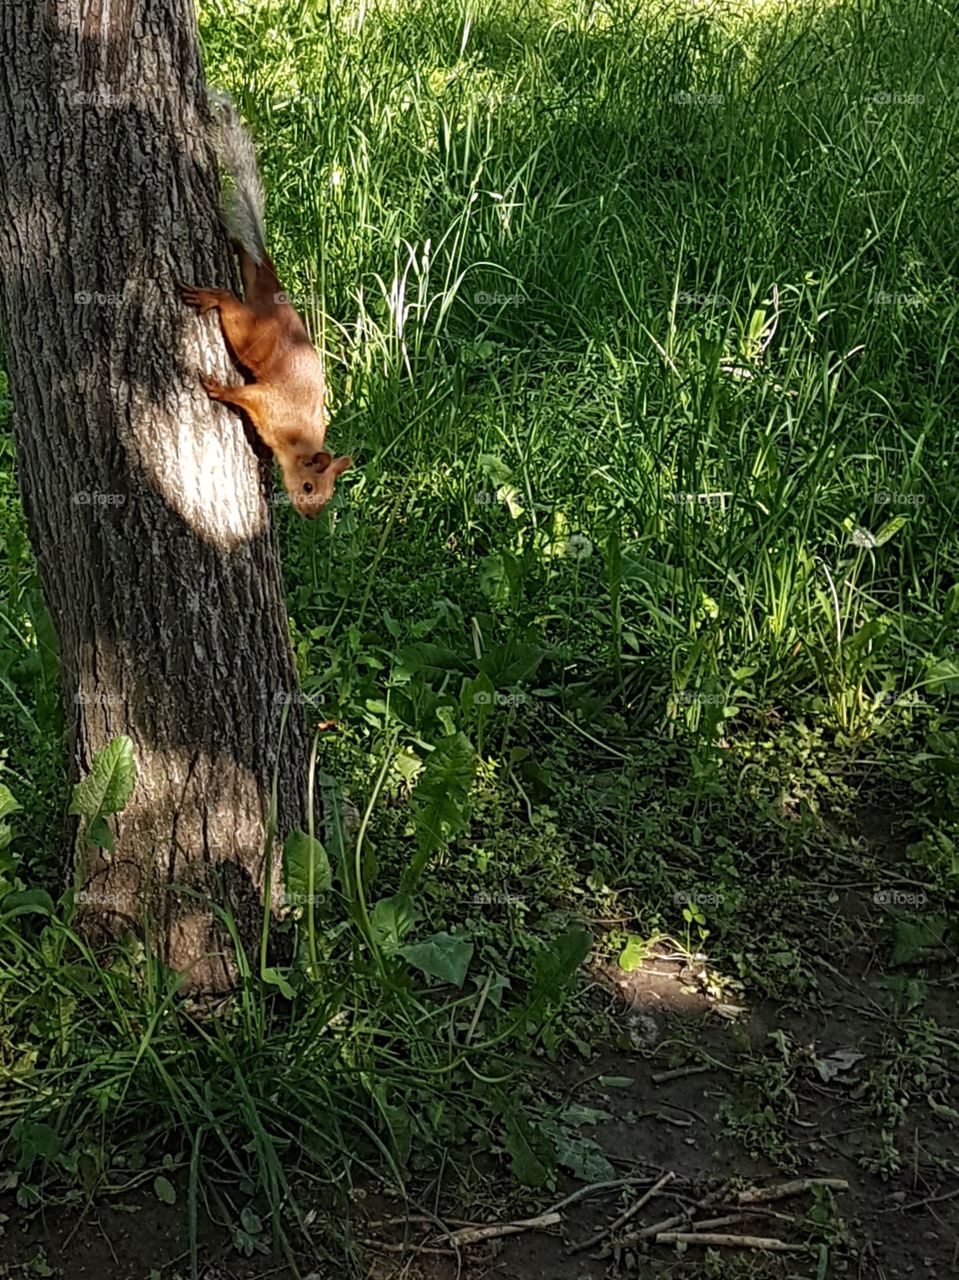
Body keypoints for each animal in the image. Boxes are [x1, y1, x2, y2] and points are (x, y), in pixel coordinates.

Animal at [181, 91, 352, 518]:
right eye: (308, 486)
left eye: (327, 495)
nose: (310, 515)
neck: (298, 440)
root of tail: (271, 282)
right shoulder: (268, 404)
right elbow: (242, 396)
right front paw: (217, 389)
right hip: (248, 331)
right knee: (230, 307)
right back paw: (214, 295)